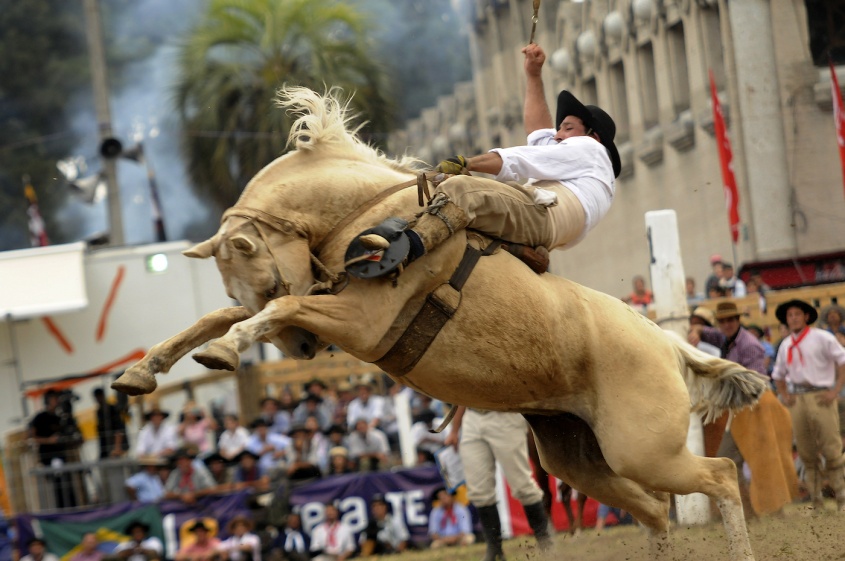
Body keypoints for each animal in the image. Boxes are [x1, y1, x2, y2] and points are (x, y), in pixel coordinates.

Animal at [113, 86, 767, 560]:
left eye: (263, 273)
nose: (303, 350)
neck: (374, 215)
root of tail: (667, 343)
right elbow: (217, 317)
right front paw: (142, 373)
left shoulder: (360, 321)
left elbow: (276, 310)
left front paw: (225, 351)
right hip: (577, 454)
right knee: (653, 509)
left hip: (643, 449)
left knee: (719, 476)